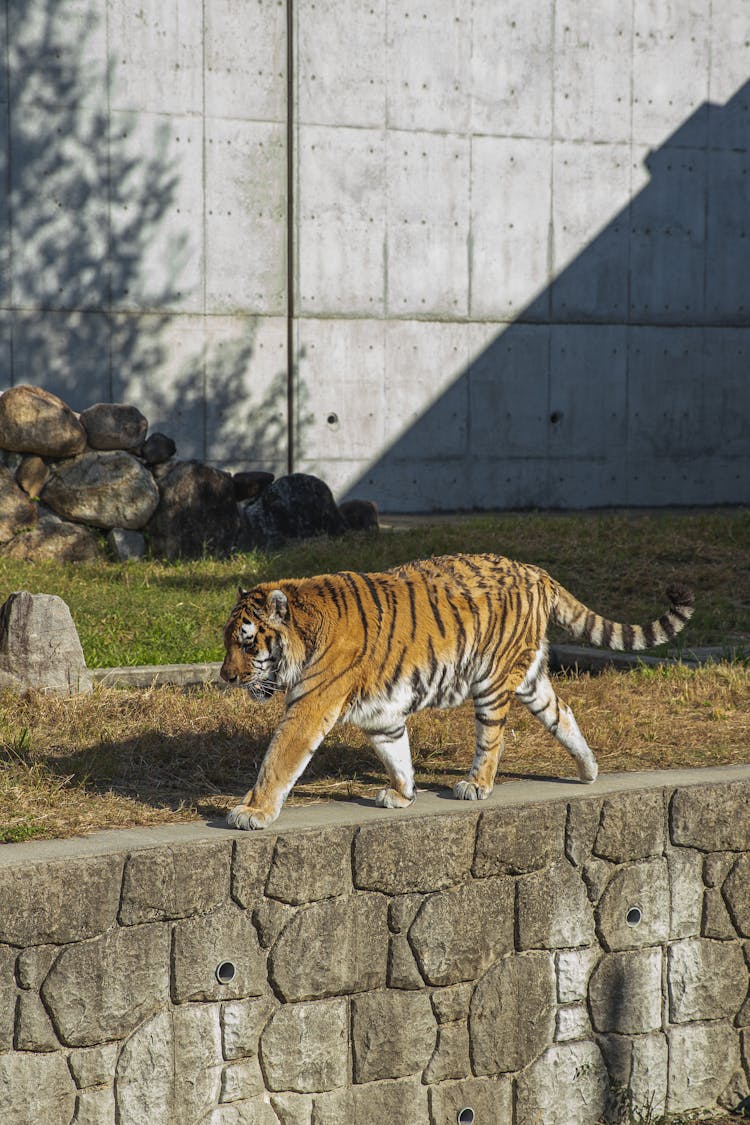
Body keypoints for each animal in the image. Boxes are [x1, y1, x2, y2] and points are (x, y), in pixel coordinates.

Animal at [220, 553, 697, 828]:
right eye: (227, 640)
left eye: (247, 642)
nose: (226, 676)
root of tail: (538, 571)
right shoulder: (381, 715)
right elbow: (396, 754)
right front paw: (403, 794)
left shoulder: (310, 705)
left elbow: (278, 760)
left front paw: (252, 811)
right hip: (530, 679)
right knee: (563, 713)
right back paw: (588, 769)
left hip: (493, 679)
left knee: (492, 739)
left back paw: (476, 784)